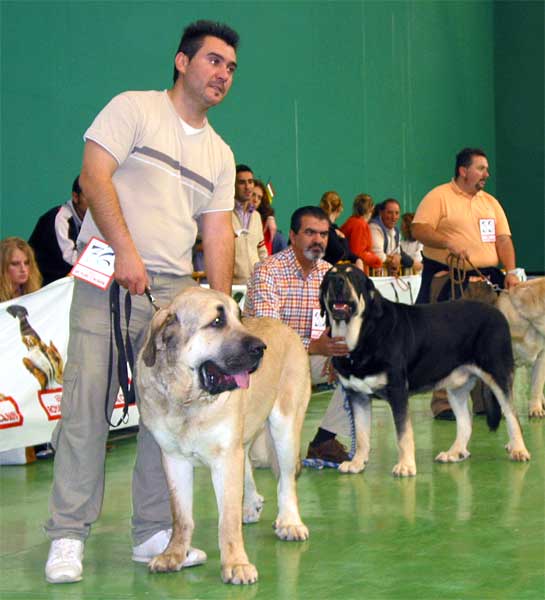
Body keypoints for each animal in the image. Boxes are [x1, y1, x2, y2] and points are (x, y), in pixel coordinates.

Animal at [136, 288, 310, 584]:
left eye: (240, 317)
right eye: (217, 322)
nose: (261, 348)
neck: (188, 399)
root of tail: (285, 327)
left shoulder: (226, 458)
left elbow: (226, 520)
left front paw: (236, 564)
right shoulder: (174, 460)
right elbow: (181, 515)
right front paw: (174, 554)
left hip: (285, 427)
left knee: (287, 481)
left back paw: (290, 522)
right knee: (249, 464)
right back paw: (250, 505)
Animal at [318, 264, 528, 476]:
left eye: (352, 275)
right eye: (329, 276)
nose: (337, 281)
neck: (362, 335)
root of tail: (497, 312)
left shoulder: (397, 391)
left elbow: (403, 434)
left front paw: (406, 465)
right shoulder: (356, 394)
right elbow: (361, 435)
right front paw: (357, 462)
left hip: (498, 374)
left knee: (512, 415)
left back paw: (518, 449)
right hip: (456, 388)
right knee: (465, 422)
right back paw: (455, 452)